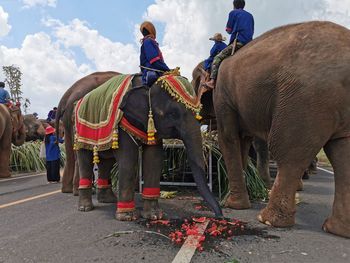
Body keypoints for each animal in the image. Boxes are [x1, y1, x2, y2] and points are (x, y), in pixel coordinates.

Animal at [74, 73, 223, 221]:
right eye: (173, 114)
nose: (219, 216)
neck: (147, 85)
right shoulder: (122, 123)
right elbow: (129, 160)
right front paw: (127, 216)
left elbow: (154, 159)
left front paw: (154, 216)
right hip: (79, 133)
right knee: (85, 160)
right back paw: (85, 208)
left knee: (106, 162)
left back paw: (109, 200)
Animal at [194, 21, 350, 239]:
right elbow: (243, 141)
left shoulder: (222, 94)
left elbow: (230, 138)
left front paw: (232, 204)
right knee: (342, 155)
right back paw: (336, 229)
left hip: (304, 101)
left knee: (288, 152)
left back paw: (267, 220)